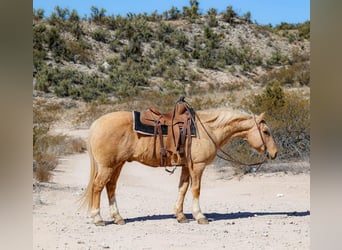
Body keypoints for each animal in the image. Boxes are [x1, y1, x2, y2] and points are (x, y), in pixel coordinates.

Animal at [81, 108, 278, 226]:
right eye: (266, 132)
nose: (274, 153)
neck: (207, 130)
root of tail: (96, 123)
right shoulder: (198, 166)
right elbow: (196, 189)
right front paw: (200, 216)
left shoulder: (185, 166)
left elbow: (182, 188)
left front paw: (180, 216)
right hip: (107, 166)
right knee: (98, 187)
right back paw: (98, 218)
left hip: (118, 164)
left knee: (110, 187)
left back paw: (118, 218)